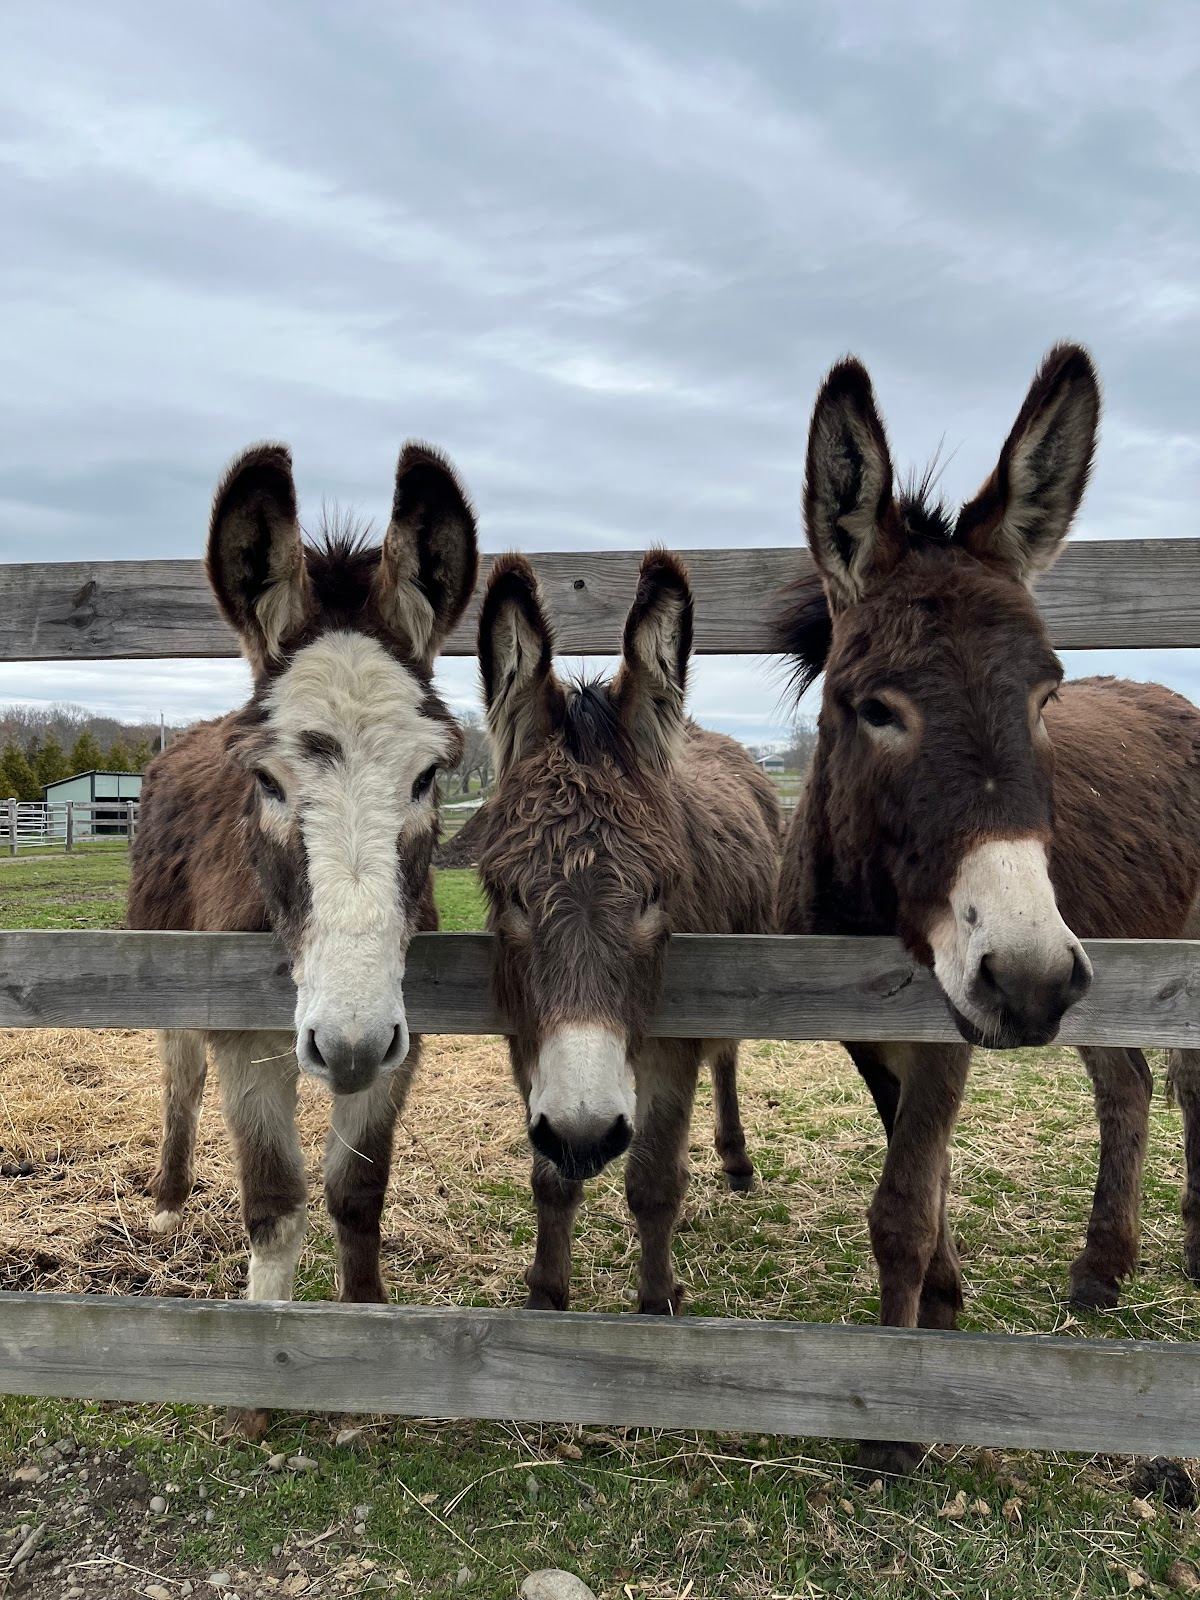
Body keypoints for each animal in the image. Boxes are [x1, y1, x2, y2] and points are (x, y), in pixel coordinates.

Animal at [128, 441, 478, 1417]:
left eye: (429, 778)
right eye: (269, 783)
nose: (347, 1044)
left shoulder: (403, 1042)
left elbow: (357, 1192)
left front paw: (367, 1350)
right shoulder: (250, 1043)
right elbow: (275, 1207)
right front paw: (258, 1378)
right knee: (178, 1076)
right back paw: (168, 1196)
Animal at [476, 549, 779, 1313]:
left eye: (653, 896)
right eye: (509, 894)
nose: (585, 1134)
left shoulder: (670, 1045)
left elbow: (653, 1185)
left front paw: (657, 1304)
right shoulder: (529, 1045)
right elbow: (551, 1183)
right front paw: (547, 1298)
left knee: (727, 1057)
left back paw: (736, 1161)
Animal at [775, 344, 1200, 1473]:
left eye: (1046, 698)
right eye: (876, 708)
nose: (1031, 977)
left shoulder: (949, 1025)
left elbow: (901, 1203)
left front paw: (894, 1419)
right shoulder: (871, 1029)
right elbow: (918, 1180)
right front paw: (944, 1306)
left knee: (1186, 1081)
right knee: (1130, 1085)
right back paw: (1103, 1267)